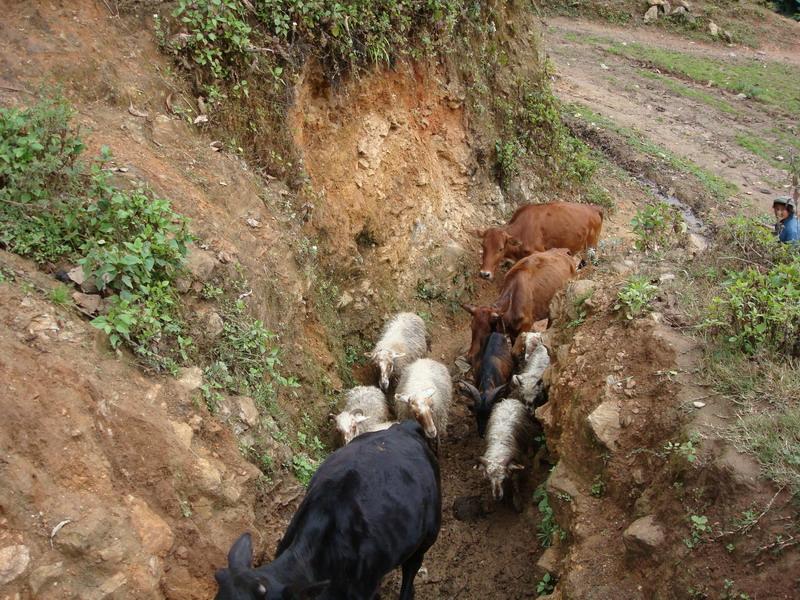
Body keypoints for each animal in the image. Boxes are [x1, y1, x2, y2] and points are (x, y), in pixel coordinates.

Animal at [468, 202, 600, 282]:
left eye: (500, 248)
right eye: (483, 245)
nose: (484, 274)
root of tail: (594, 208)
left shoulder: (541, 252)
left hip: (591, 246)